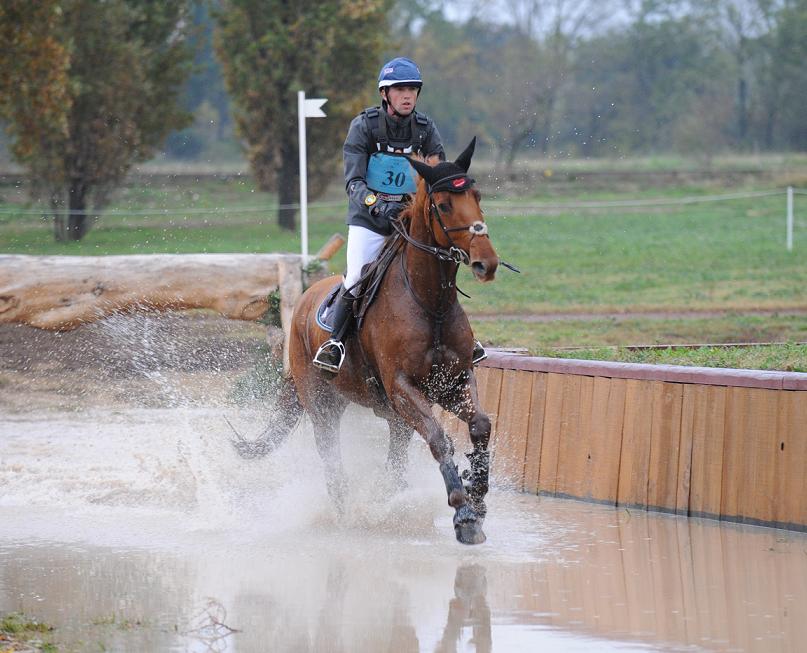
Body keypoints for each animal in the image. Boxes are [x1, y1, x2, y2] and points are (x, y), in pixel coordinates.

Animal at [235, 139, 498, 544]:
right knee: (332, 459)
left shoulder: (453, 381)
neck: (430, 304)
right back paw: (347, 514)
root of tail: (302, 302)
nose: (488, 263)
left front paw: (478, 497)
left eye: (477, 196)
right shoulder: (402, 387)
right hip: (322, 404)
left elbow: (480, 426)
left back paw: (381, 503)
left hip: (388, 414)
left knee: (394, 463)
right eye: (443, 205)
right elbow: (440, 439)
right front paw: (463, 513)